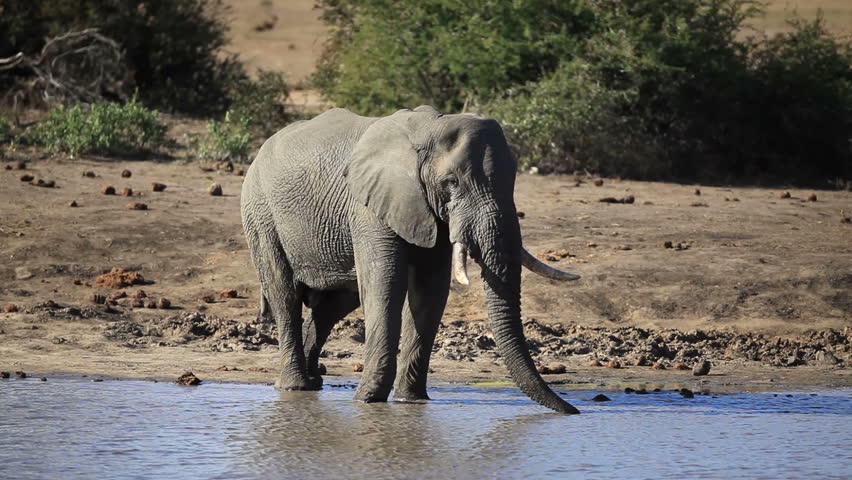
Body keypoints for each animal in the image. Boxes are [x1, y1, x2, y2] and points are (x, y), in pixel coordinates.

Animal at [243, 107, 584, 414]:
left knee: (333, 305)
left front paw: (412, 401)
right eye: (451, 182)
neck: (429, 128)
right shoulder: (368, 206)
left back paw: (313, 383)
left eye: (512, 180)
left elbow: (430, 290)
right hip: (260, 212)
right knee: (284, 294)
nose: (573, 411)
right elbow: (385, 285)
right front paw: (367, 401)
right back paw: (295, 386)